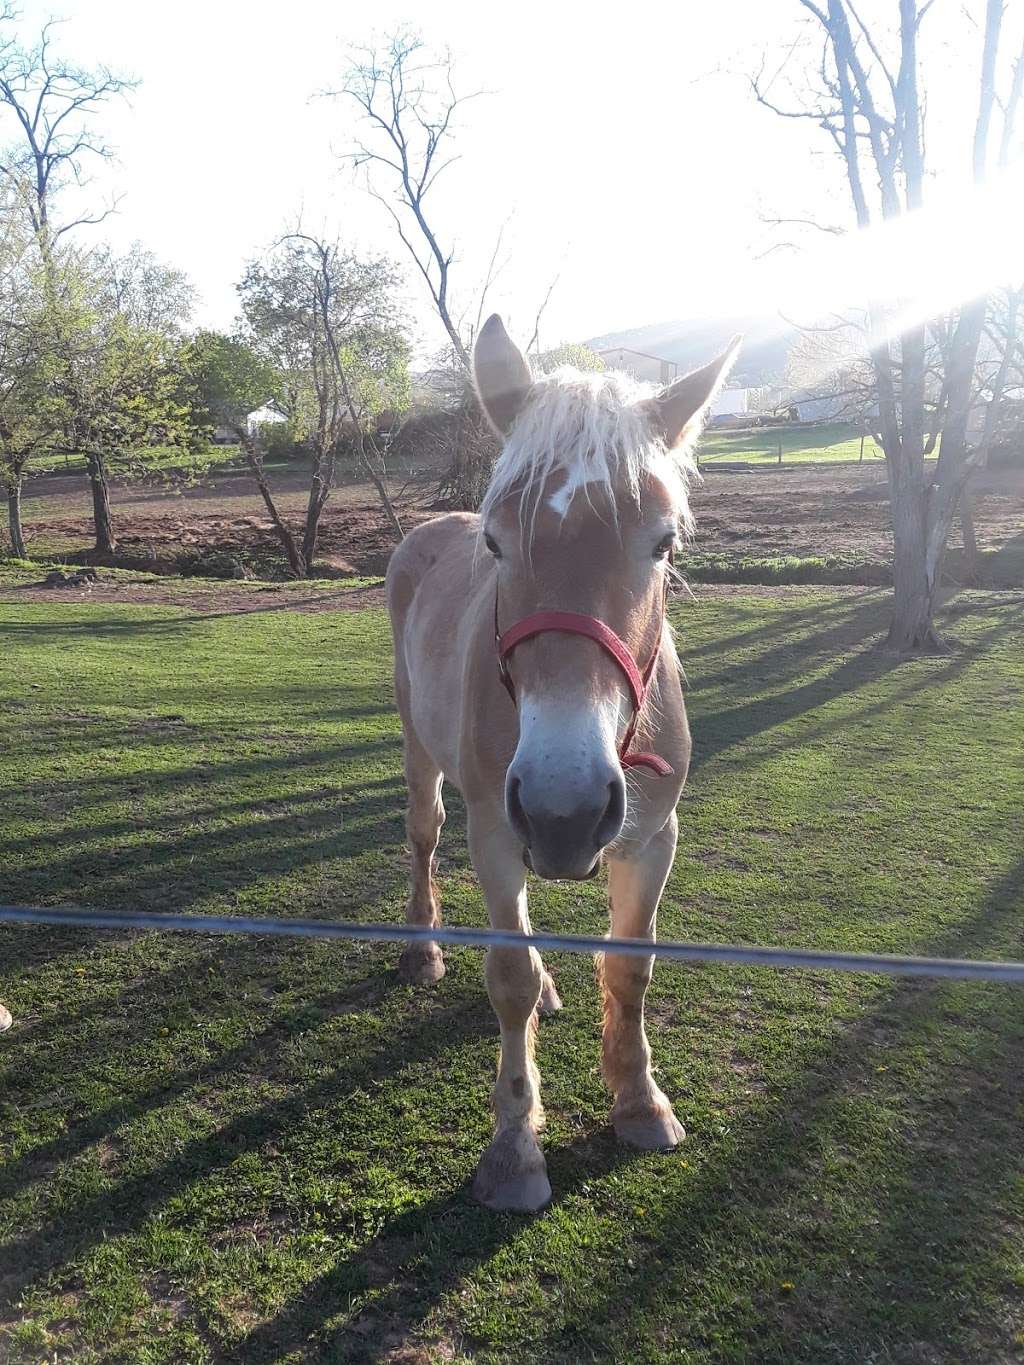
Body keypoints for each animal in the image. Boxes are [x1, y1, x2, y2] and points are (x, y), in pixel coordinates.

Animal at [387, 313, 742, 1212]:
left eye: (664, 542)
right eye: (496, 541)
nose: (565, 806)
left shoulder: (652, 838)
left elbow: (631, 965)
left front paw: (639, 1099)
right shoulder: (493, 830)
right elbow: (507, 975)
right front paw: (515, 1147)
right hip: (423, 756)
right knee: (422, 834)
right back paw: (423, 948)